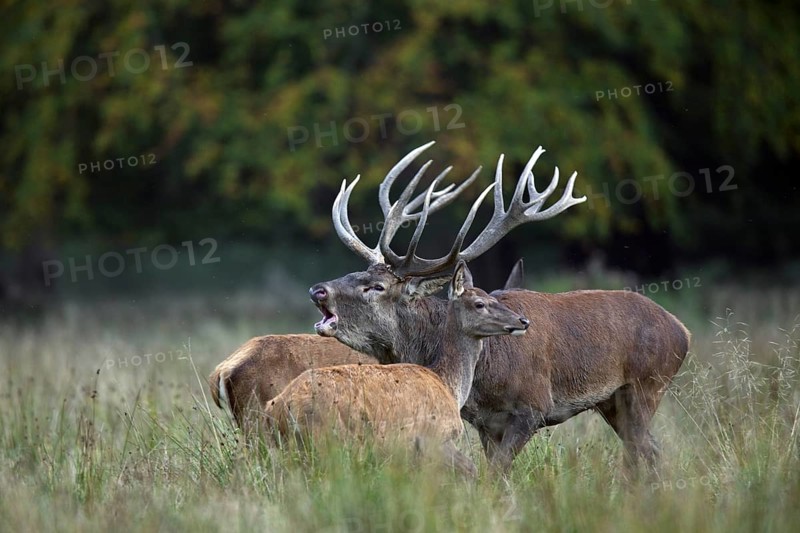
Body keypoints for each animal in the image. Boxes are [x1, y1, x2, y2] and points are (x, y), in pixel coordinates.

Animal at [262, 261, 530, 476]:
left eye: (494, 298)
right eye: (479, 304)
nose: (522, 320)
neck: (449, 385)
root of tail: (278, 407)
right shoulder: (434, 438)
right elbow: (471, 470)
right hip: (328, 442)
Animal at [309, 141, 691, 472]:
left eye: (377, 287)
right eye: (355, 272)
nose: (318, 290)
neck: (481, 376)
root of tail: (683, 330)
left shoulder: (532, 408)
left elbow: (495, 475)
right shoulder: (483, 422)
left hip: (647, 385)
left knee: (644, 452)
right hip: (612, 401)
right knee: (649, 451)